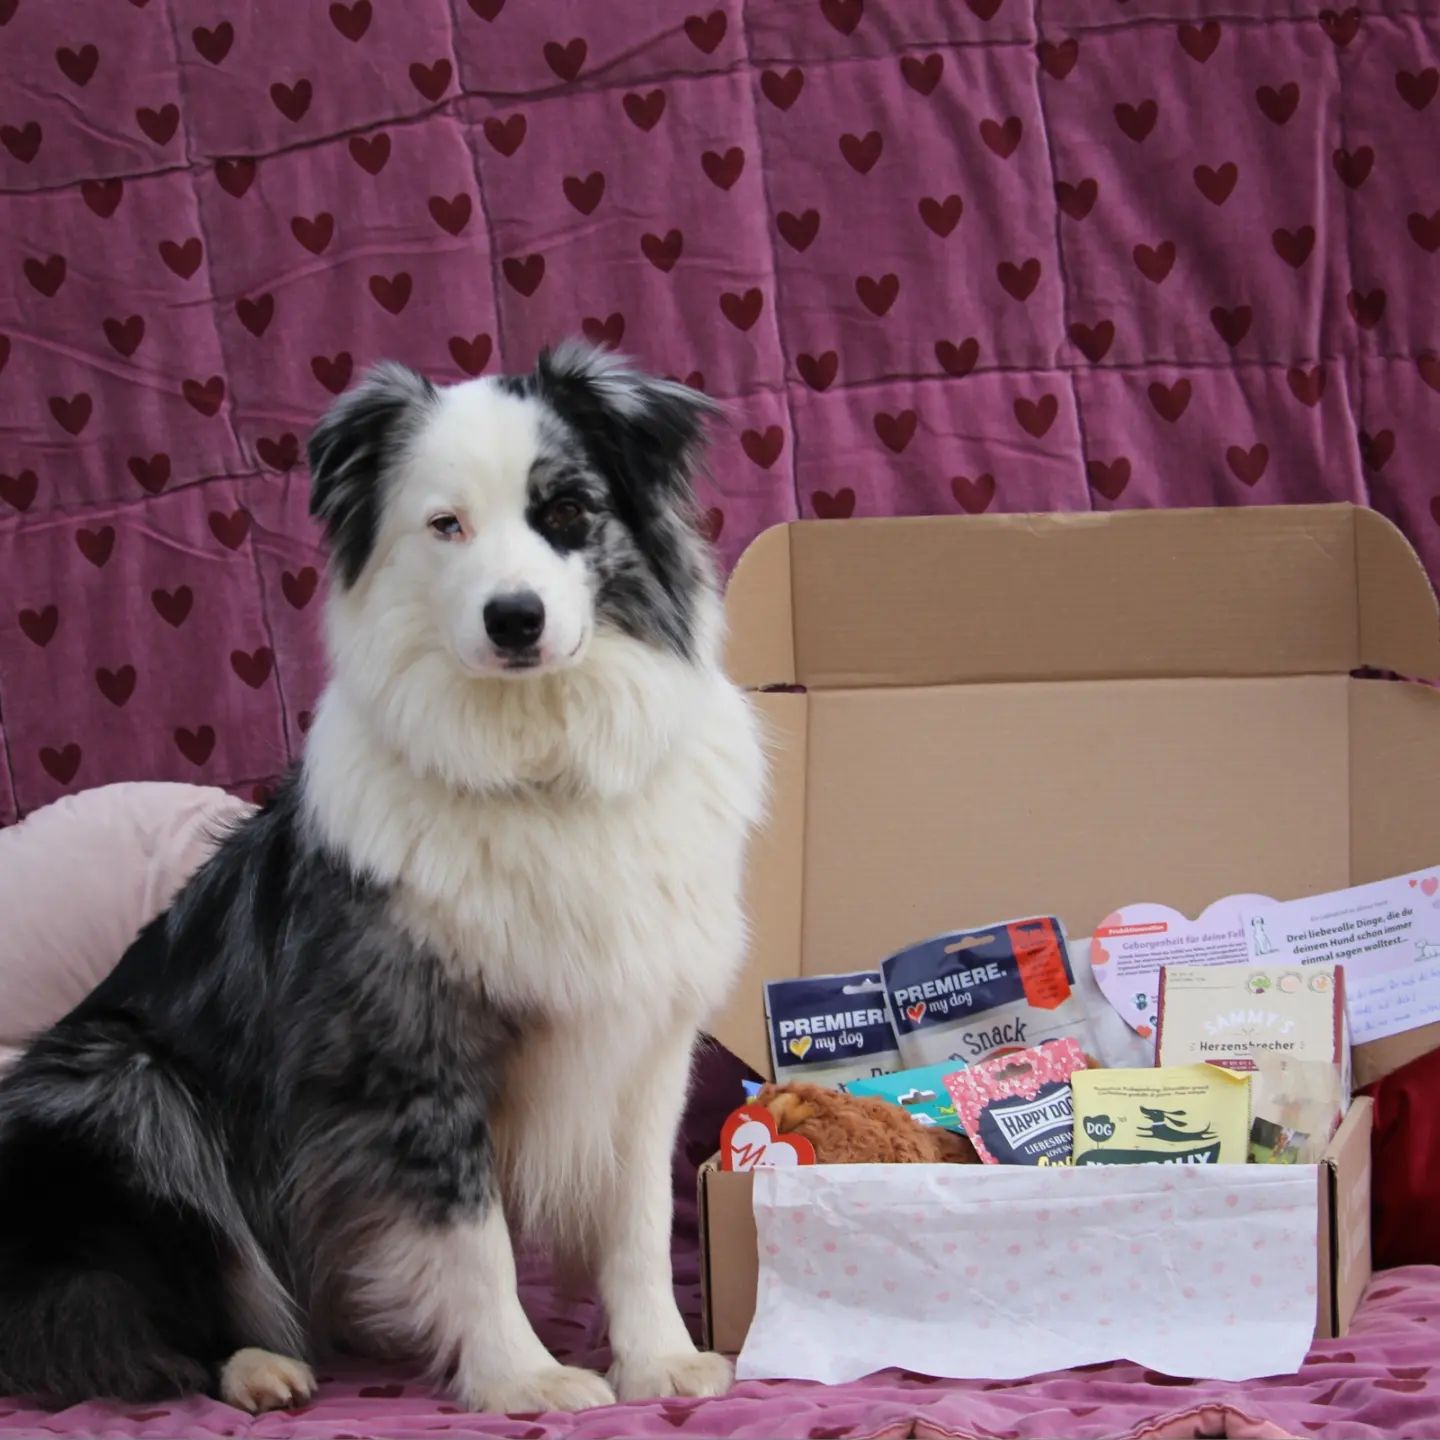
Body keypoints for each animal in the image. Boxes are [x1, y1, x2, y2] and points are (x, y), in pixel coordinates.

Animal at [0, 342, 766, 1411]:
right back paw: (258, 1365)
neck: (538, 760)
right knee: (108, 1313)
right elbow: (474, 1235)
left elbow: (641, 1222)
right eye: (447, 525)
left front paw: (658, 1359)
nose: (514, 618)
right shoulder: (404, 1048)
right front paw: (524, 1378)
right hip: (119, 1083)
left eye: (568, 511)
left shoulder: (646, 1043)